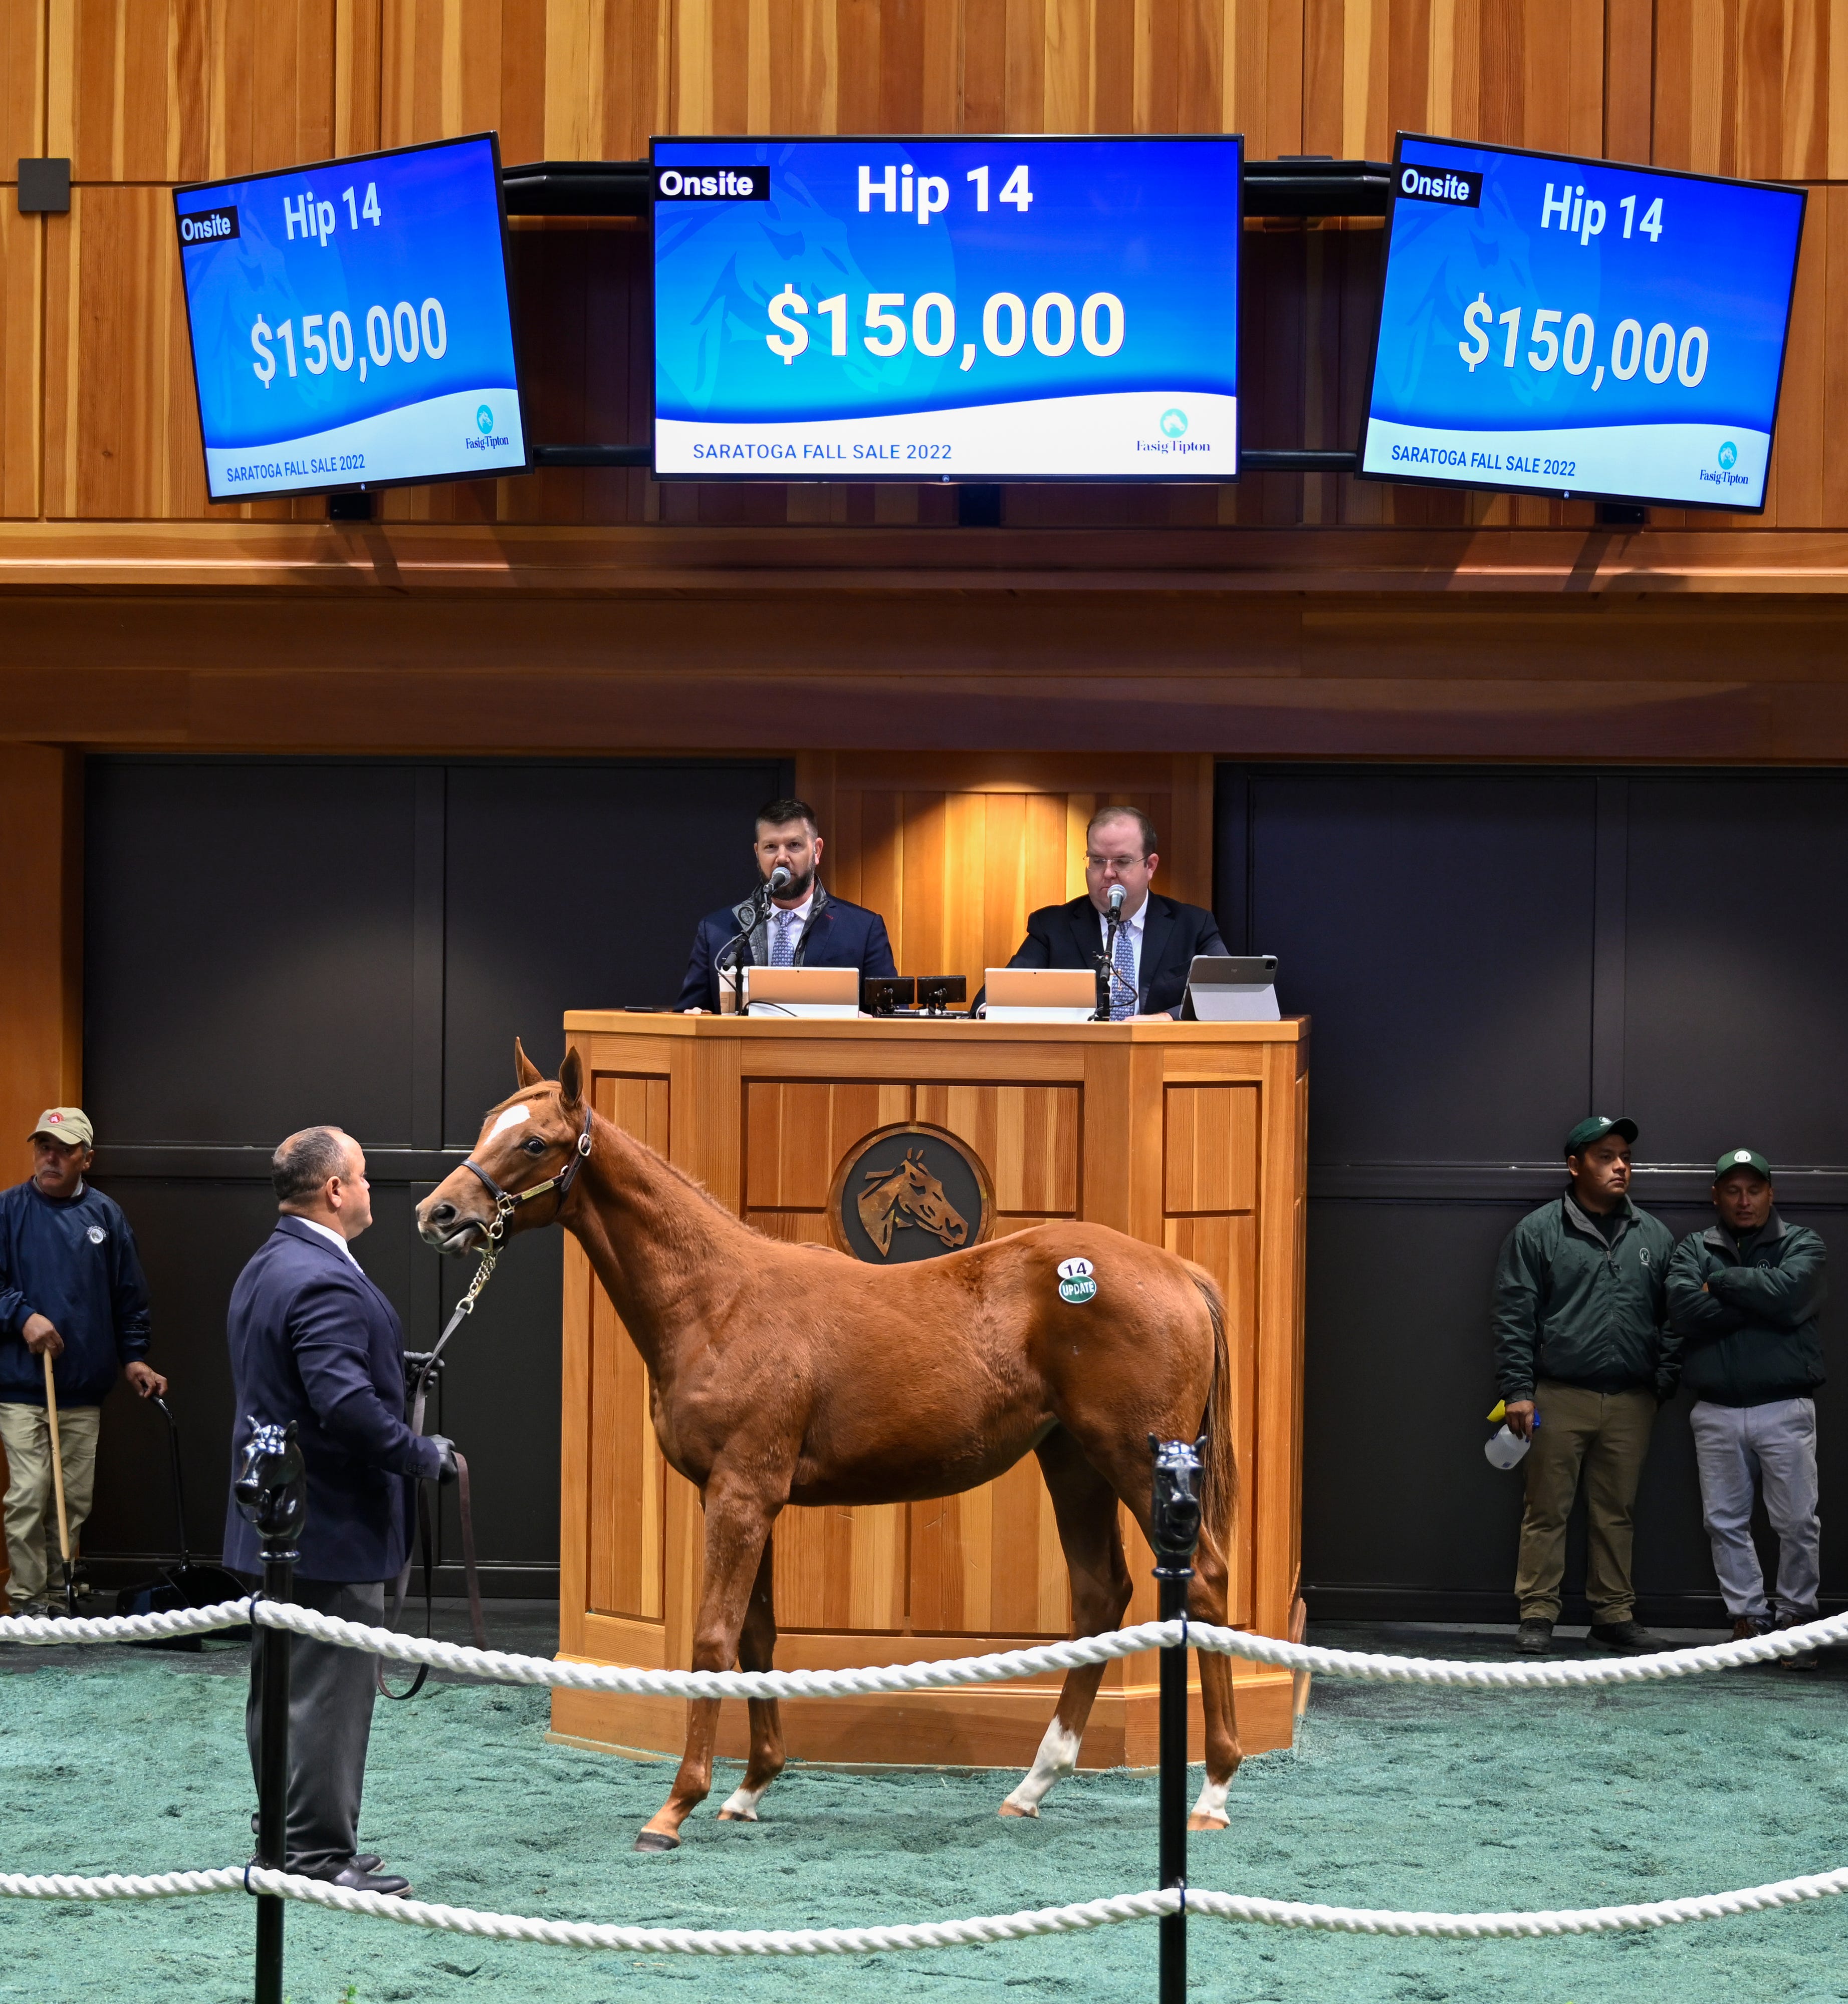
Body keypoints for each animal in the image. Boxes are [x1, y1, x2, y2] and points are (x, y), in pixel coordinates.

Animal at [411, 1050, 1235, 1844]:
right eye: (486, 1125)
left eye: (534, 1142)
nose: (437, 1213)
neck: (719, 1303)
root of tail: (1179, 1272)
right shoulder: (739, 1496)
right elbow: (758, 1635)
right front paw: (749, 1789)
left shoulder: (742, 1496)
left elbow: (712, 1639)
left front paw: (675, 1808)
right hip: (1073, 1462)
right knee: (1101, 1592)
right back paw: (1034, 1785)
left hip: (1138, 1460)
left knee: (1205, 1582)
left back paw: (1215, 1790)